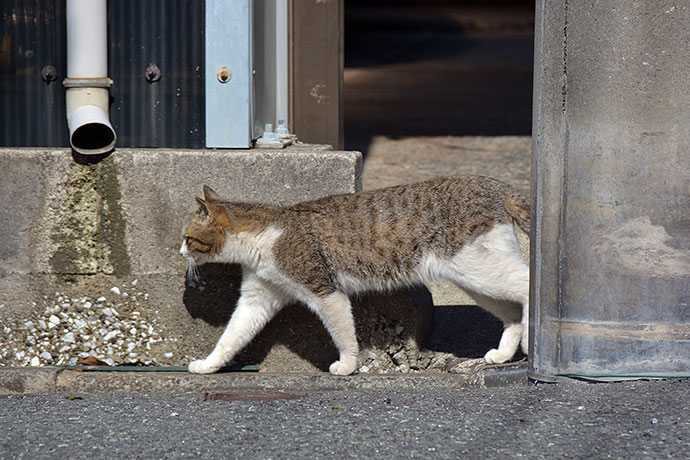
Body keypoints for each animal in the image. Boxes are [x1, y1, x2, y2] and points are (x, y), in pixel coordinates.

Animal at [180, 175, 528, 374]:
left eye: (187, 237)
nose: (180, 252)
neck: (263, 235)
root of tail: (495, 185)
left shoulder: (324, 291)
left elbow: (343, 334)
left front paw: (347, 366)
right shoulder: (258, 297)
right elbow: (231, 337)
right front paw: (208, 366)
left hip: (477, 271)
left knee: (527, 286)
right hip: (477, 280)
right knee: (512, 313)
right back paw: (503, 354)